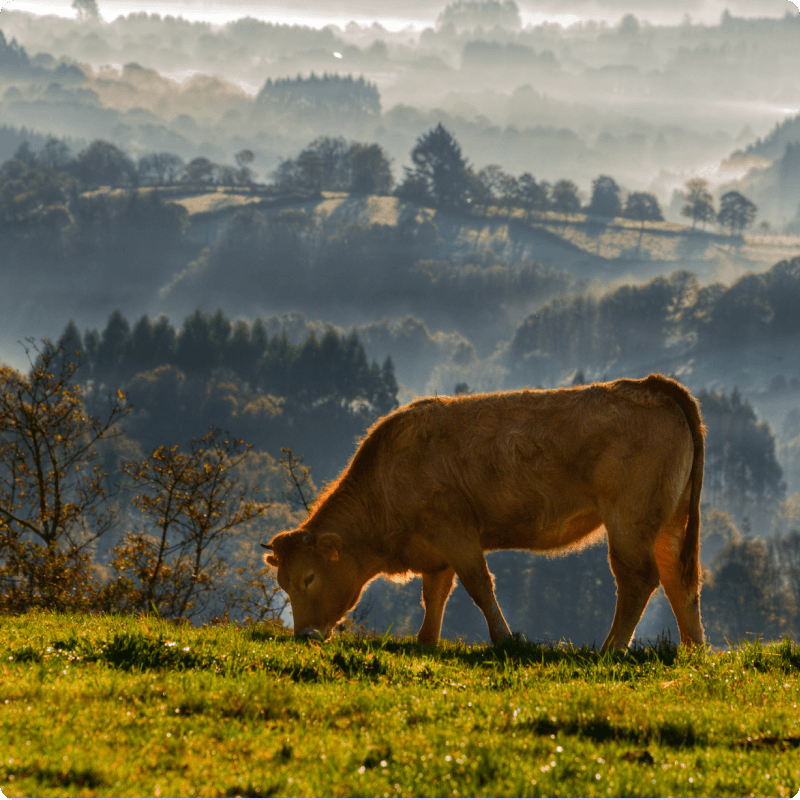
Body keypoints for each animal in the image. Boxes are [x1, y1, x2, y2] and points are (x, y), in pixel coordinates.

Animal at [262, 374, 705, 650]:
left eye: (308, 578)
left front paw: (505, 639)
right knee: (679, 580)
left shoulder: (454, 531)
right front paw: (426, 641)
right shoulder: (435, 549)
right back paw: (693, 650)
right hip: (670, 520)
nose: (304, 635)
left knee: (638, 579)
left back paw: (611, 648)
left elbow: (478, 585)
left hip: (629, 519)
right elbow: (434, 594)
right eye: (282, 583)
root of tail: (650, 385)